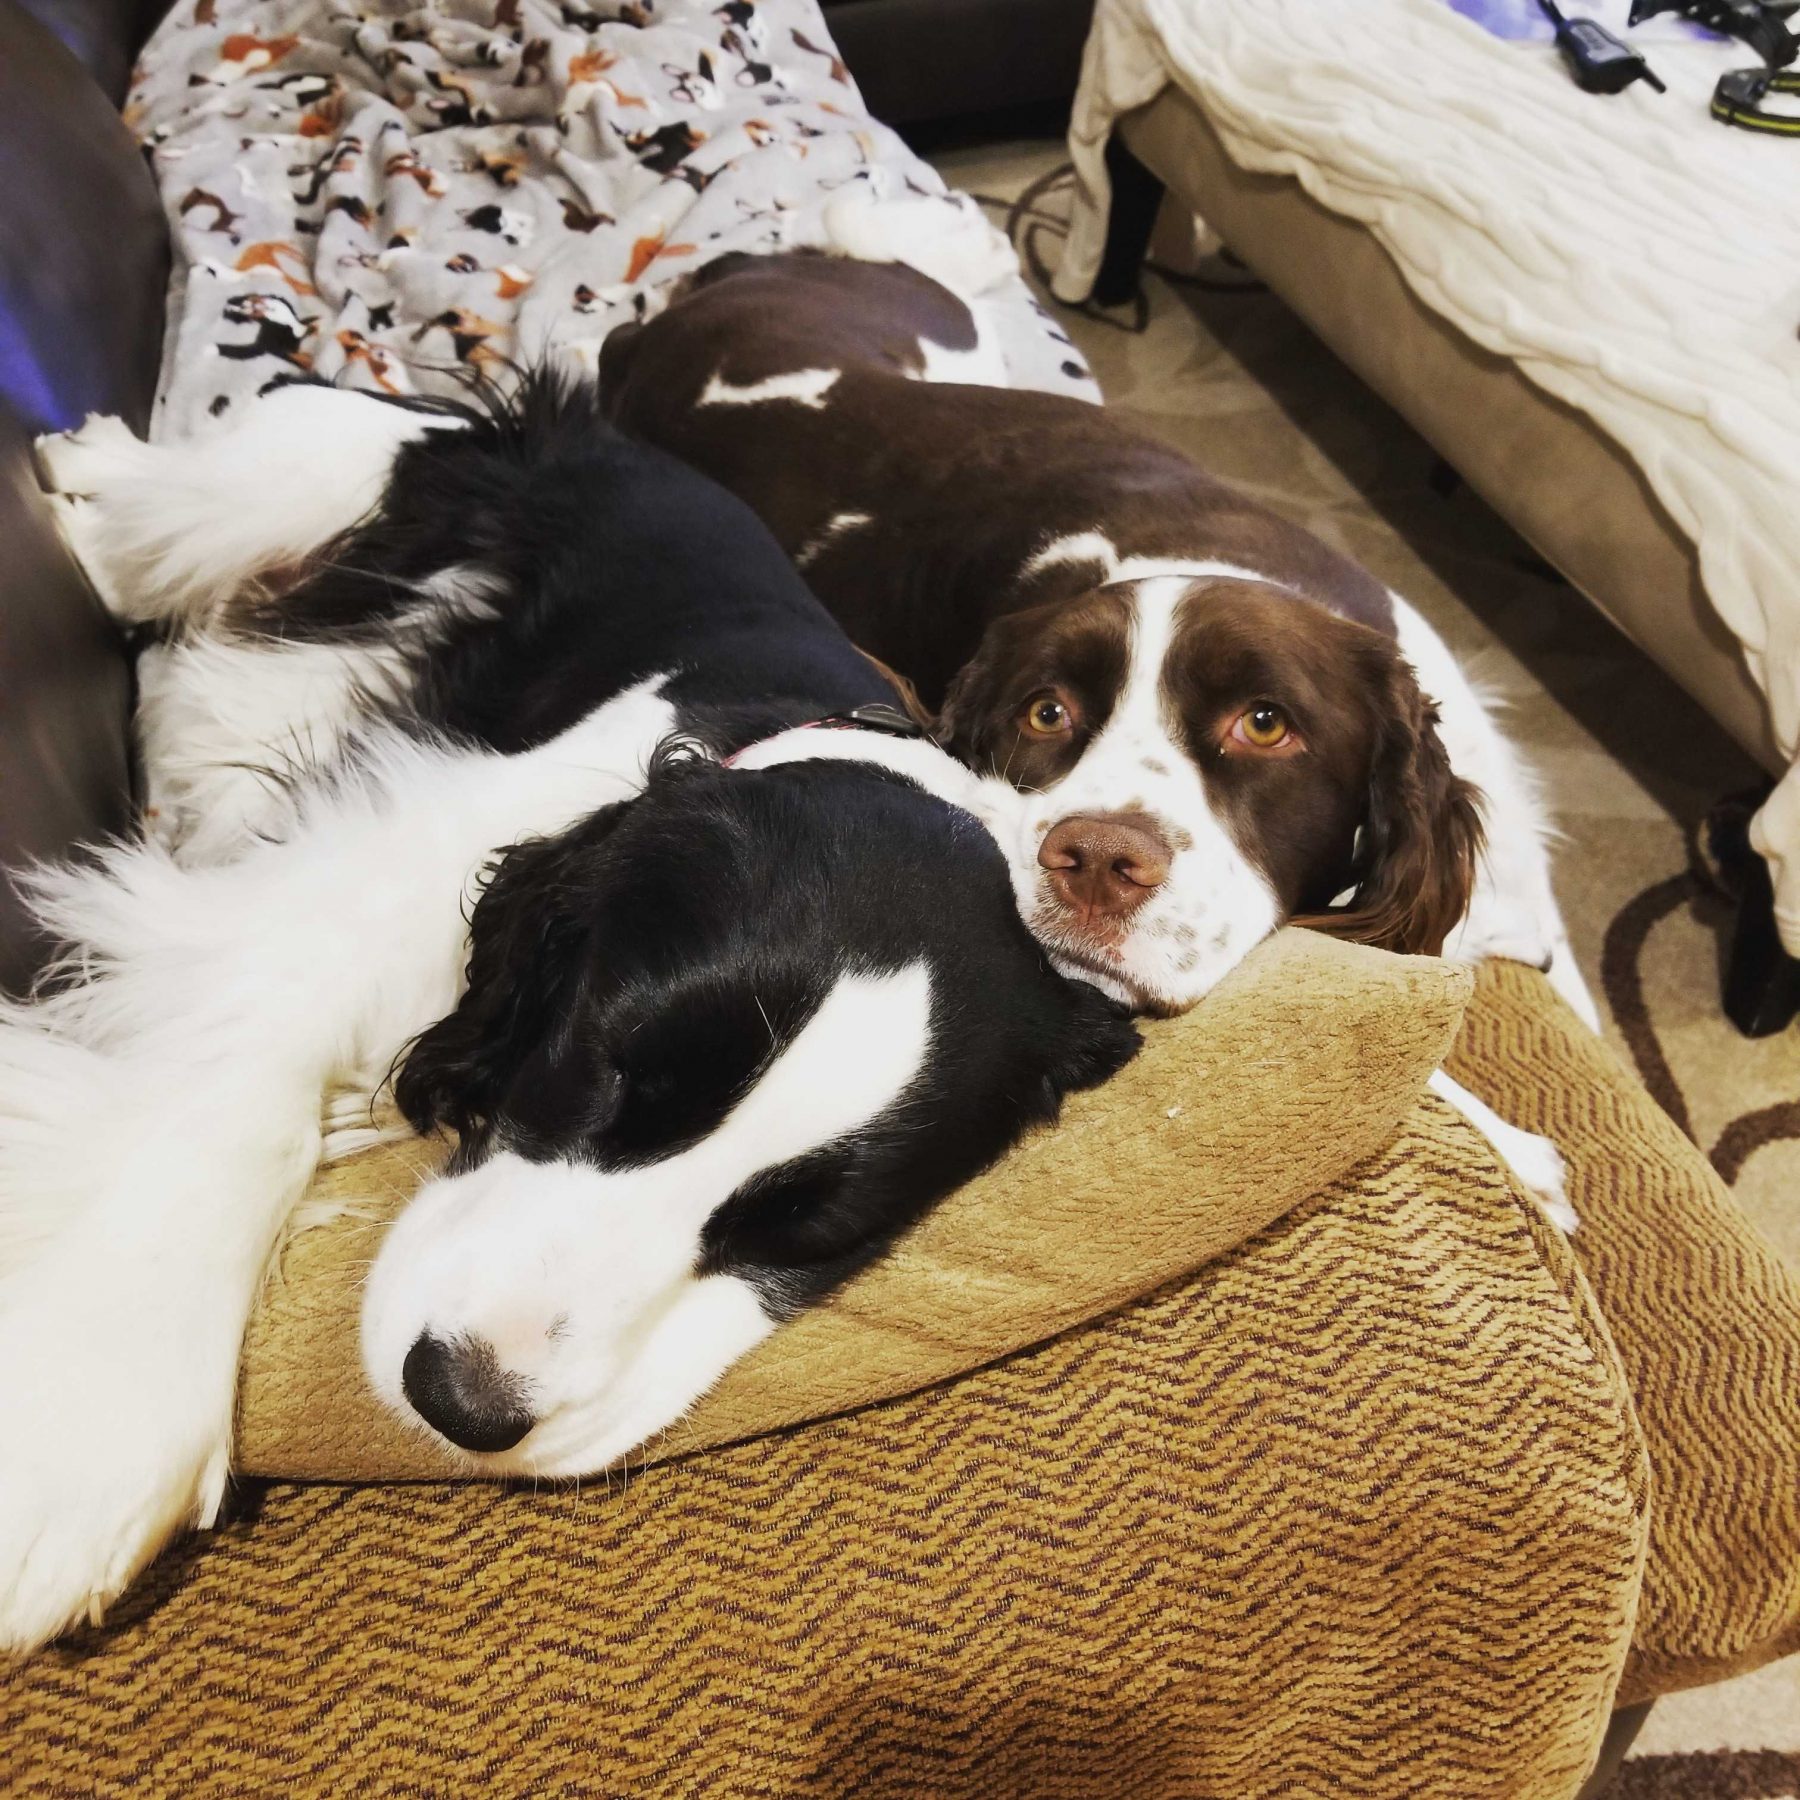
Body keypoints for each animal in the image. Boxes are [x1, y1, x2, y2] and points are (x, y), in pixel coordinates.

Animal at [0, 372, 1130, 1648]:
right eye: (601, 1068)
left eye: (806, 1232)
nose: (466, 1402)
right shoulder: (353, 894)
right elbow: (245, 1099)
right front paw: (83, 1440)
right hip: (286, 496)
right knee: (154, 525)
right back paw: (92, 461)